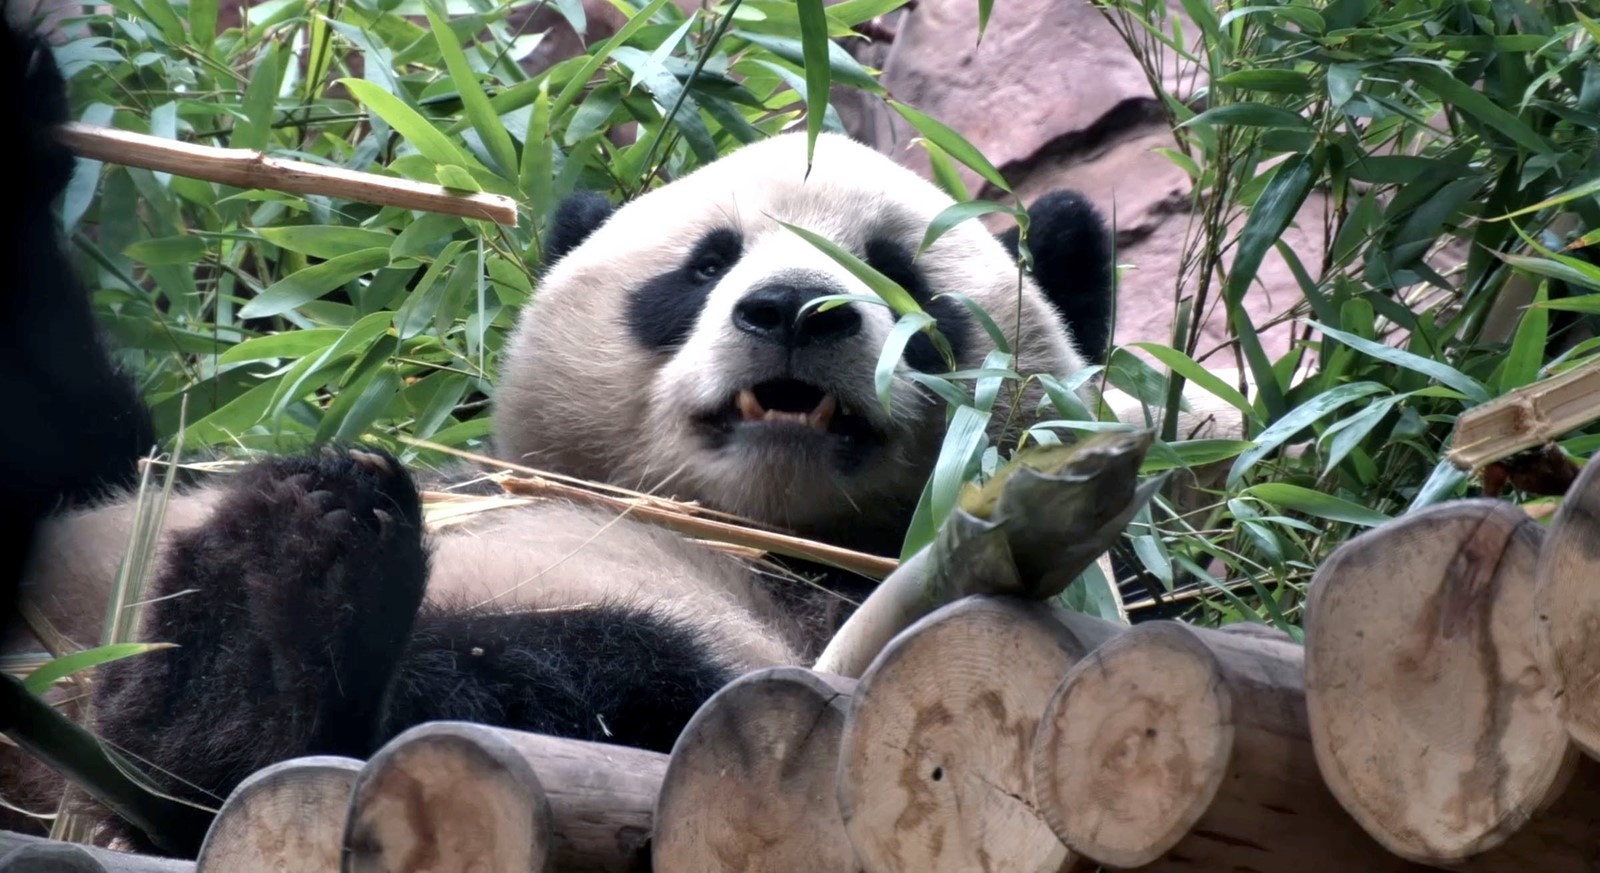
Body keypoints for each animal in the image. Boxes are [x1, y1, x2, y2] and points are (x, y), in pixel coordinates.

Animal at [1, 19, 1117, 857]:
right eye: (703, 267)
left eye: (902, 278)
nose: (796, 310)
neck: (751, 525)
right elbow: (75, 440)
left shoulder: (843, 622)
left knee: (565, 676)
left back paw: (255, 648)